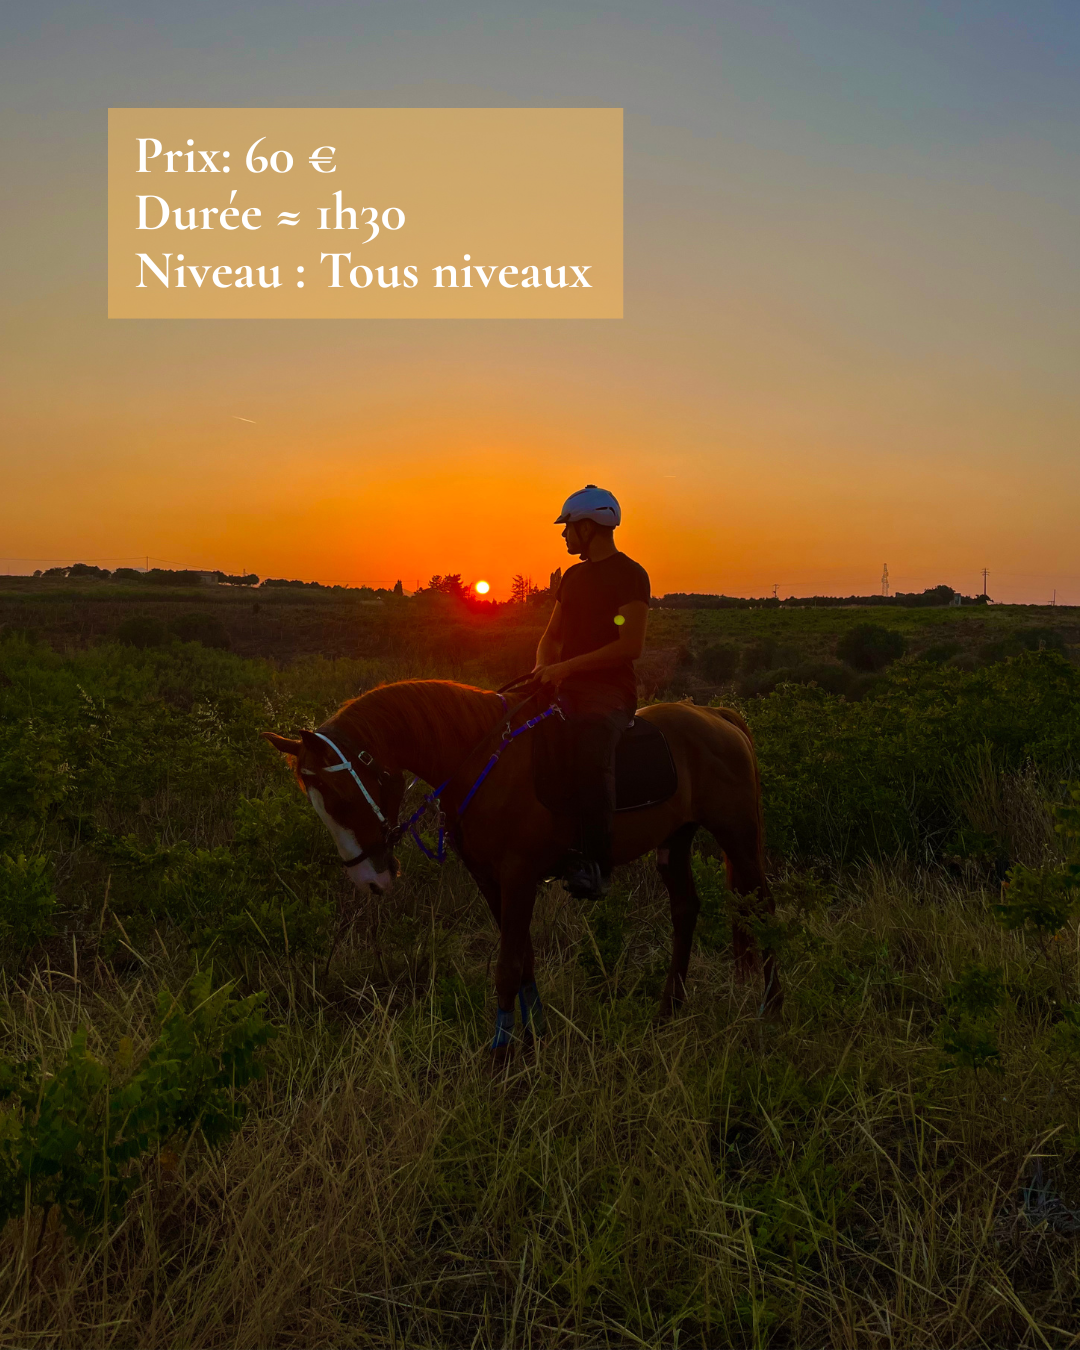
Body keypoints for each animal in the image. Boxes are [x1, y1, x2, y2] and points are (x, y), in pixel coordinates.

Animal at [263, 679, 779, 1053]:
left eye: (343, 798)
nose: (368, 879)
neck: (481, 761)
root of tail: (718, 717)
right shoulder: (490, 879)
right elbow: (524, 957)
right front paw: (534, 1036)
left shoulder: (518, 876)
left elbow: (508, 966)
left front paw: (500, 1054)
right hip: (676, 841)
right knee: (685, 909)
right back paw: (669, 1010)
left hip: (738, 836)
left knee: (763, 908)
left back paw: (770, 1008)